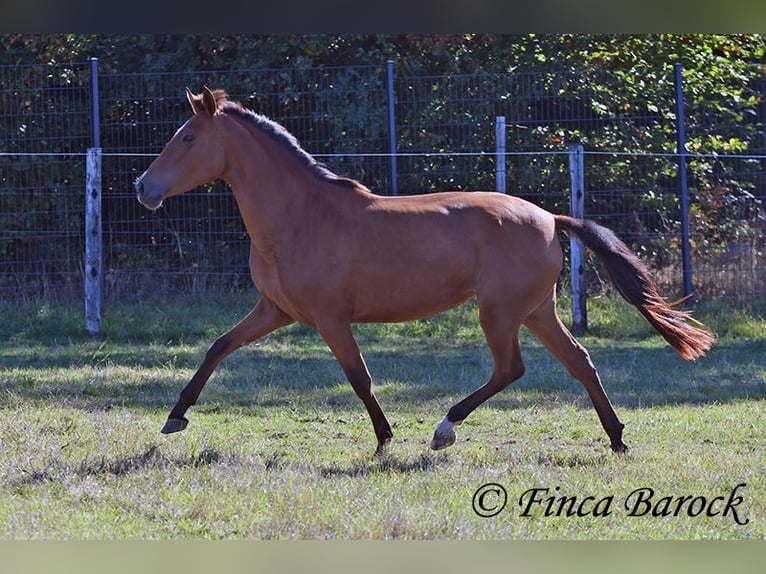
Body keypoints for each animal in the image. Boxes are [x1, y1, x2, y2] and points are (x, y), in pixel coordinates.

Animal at [135, 86, 715, 456]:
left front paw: (384, 440)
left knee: (512, 369)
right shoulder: (275, 310)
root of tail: (551, 217)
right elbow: (218, 347)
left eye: (188, 138)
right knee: (580, 362)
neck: (300, 216)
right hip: (535, 311)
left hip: (499, 312)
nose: (143, 187)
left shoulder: (329, 319)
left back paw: (444, 429)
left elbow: (360, 377)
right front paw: (175, 416)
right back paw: (617, 438)